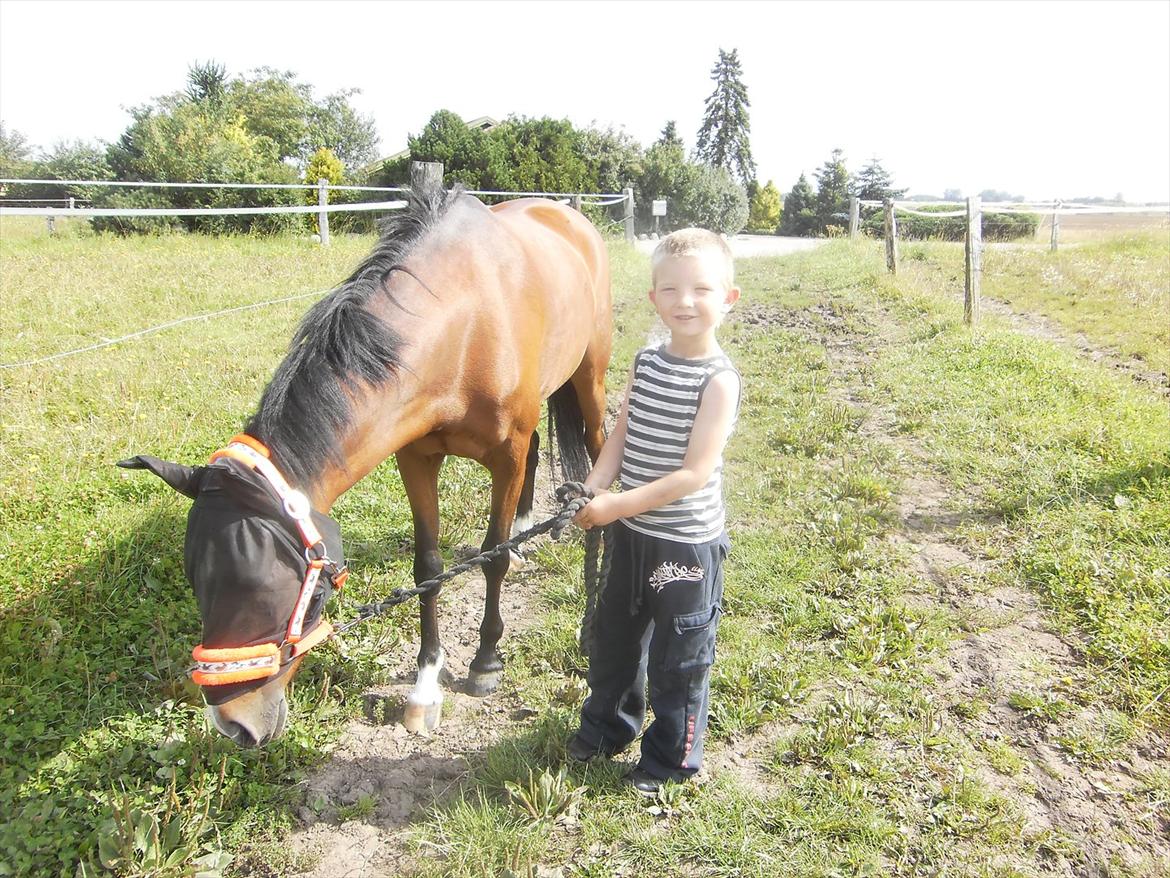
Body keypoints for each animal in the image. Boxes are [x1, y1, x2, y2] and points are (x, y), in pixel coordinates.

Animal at [119, 184, 612, 746]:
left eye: (290, 595)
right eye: (197, 582)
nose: (235, 724)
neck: (466, 326)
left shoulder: (503, 457)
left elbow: (492, 559)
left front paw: (485, 662)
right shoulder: (416, 459)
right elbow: (429, 568)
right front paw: (425, 688)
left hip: (590, 382)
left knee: (595, 451)